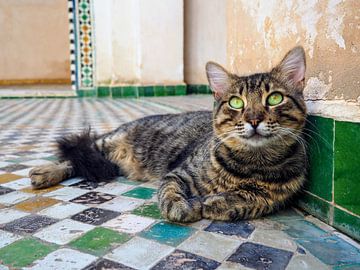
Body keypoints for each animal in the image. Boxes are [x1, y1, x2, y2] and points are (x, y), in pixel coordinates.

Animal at [29, 46, 308, 223]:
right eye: (236, 103)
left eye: (274, 98)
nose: (254, 119)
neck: (251, 163)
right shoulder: (178, 173)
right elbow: (170, 192)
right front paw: (181, 207)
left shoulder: (275, 196)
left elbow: (249, 199)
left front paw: (217, 204)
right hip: (106, 144)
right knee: (73, 156)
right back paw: (44, 172)